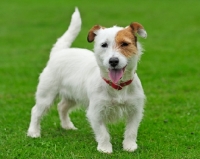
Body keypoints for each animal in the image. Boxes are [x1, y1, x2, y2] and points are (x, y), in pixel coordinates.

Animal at [27, 7, 147, 154]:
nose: (113, 61)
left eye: (125, 44)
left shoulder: (135, 111)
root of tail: (59, 52)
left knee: (62, 107)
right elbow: (103, 133)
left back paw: (67, 125)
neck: (117, 86)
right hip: (46, 95)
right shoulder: (96, 112)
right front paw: (105, 148)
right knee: (36, 111)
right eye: (104, 45)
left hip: (73, 96)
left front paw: (129, 146)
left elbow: (131, 131)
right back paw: (33, 132)